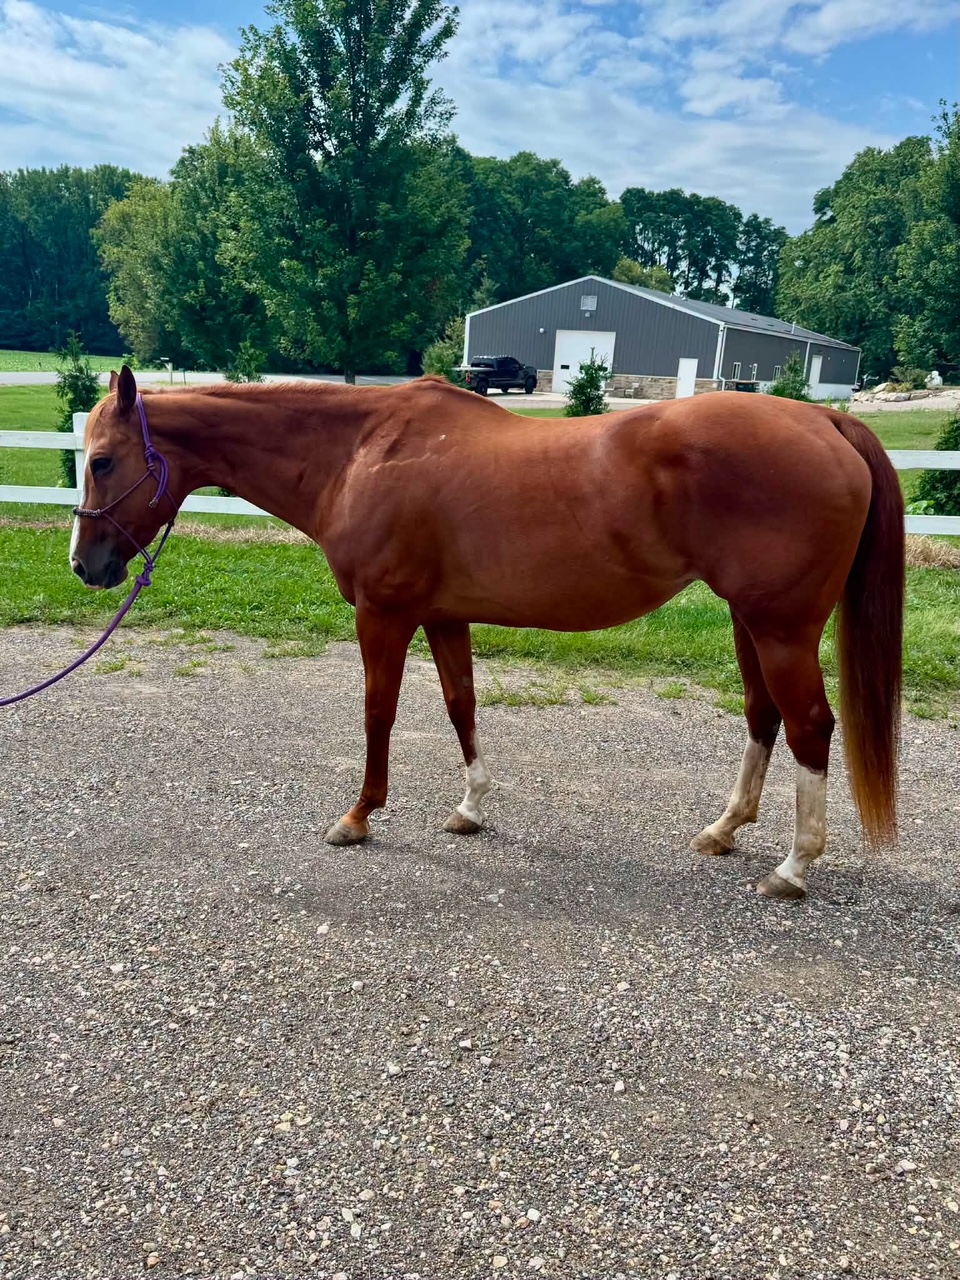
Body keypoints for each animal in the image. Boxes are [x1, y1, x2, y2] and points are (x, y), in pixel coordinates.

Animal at [70, 368, 904, 900]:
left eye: (103, 460)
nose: (86, 564)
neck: (362, 452)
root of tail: (826, 419)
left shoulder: (384, 614)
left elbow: (379, 713)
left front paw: (359, 815)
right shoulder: (444, 615)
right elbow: (460, 706)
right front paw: (470, 809)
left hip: (781, 627)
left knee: (809, 725)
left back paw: (793, 869)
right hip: (749, 621)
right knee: (763, 718)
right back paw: (724, 830)